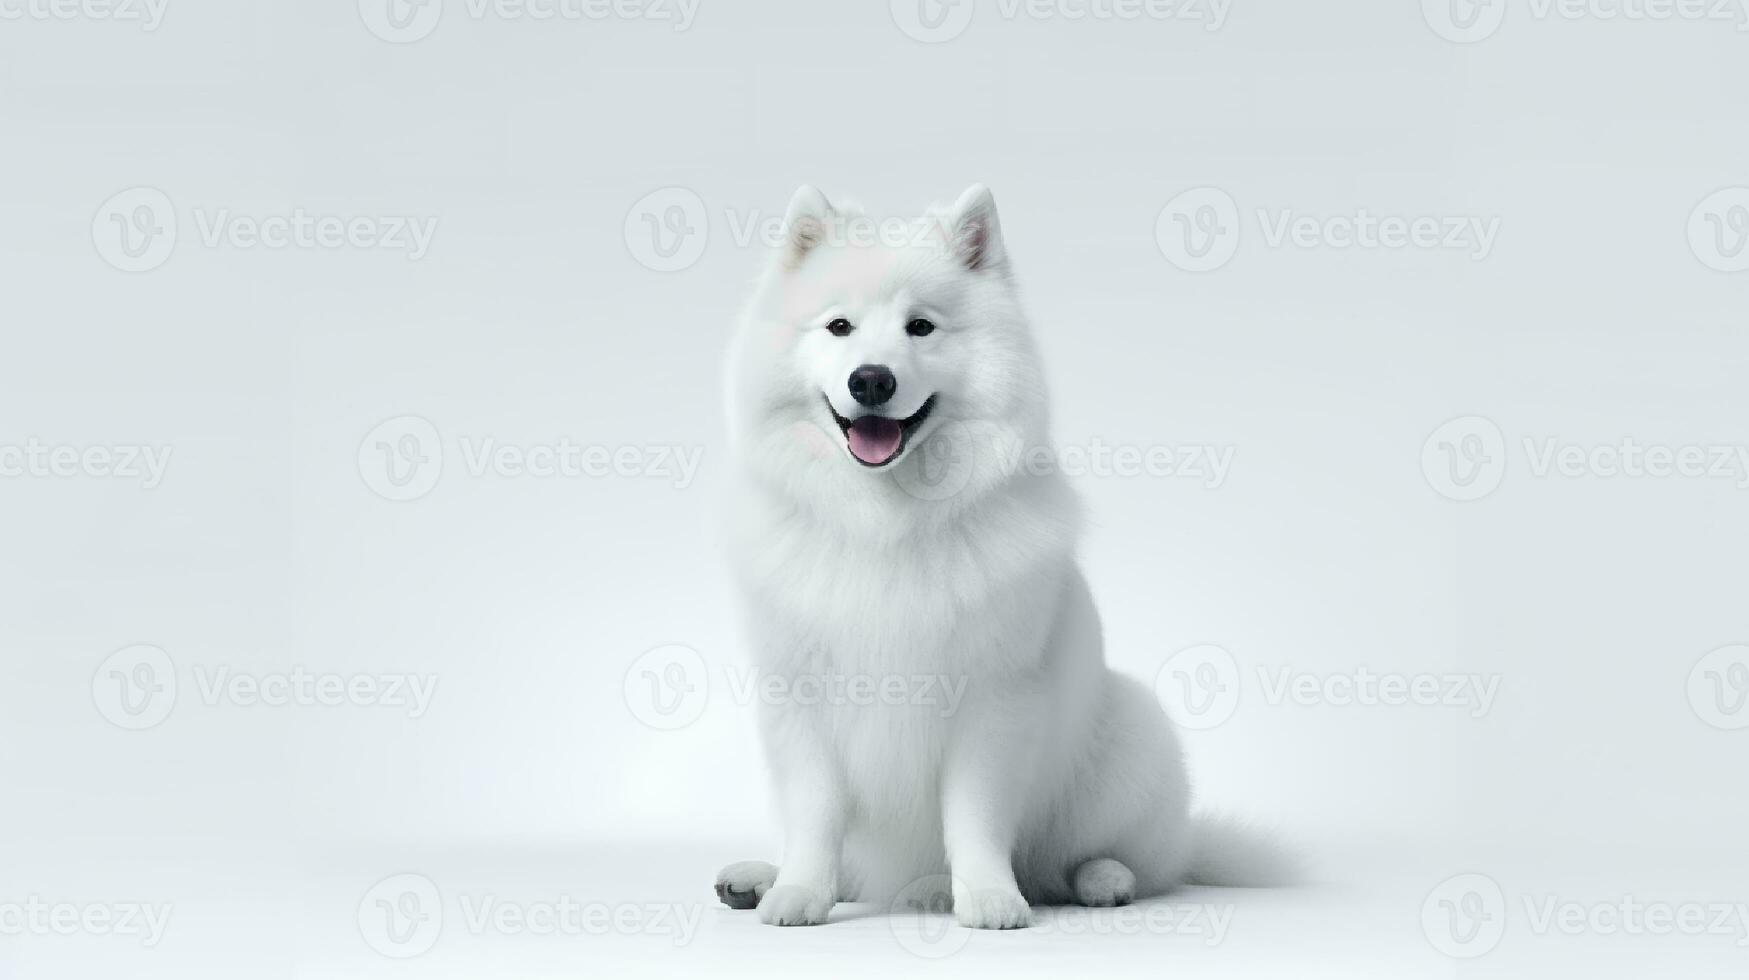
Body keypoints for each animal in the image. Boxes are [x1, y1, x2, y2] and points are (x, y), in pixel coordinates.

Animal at [710, 187, 1287, 931]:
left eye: (921, 327)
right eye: (839, 326)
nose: (871, 379)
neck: (885, 524)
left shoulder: (990, 702)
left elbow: (974, 819)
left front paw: (987, 897)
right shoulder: (800, 697)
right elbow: (815, 816)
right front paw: (800, 892)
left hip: (1134, 734)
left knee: (1111, 864)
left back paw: (1079, 881)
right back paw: (773, 878)